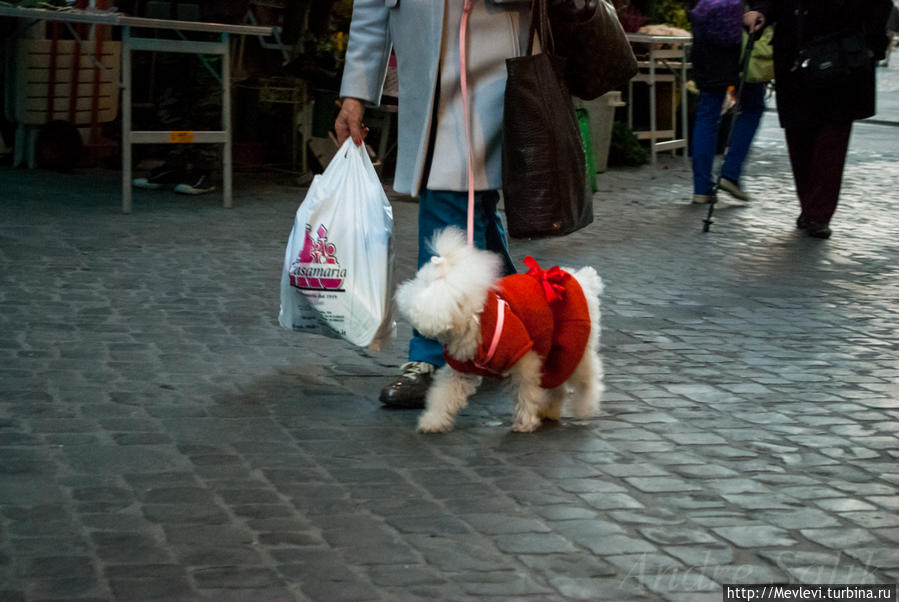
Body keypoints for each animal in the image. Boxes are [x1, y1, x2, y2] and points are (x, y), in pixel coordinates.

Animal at [396, 226, 600, 432]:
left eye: (425, 283)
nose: (403, 296)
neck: (474, 320)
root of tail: (582, 281)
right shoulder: (460, 369)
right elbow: (444, 394)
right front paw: (433, 421)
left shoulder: (524, 360)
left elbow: (526, 392)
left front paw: (525, 421)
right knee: (557, 386)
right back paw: (549, 410)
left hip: (570, 348)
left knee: (587, 379)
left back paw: (584, 408)